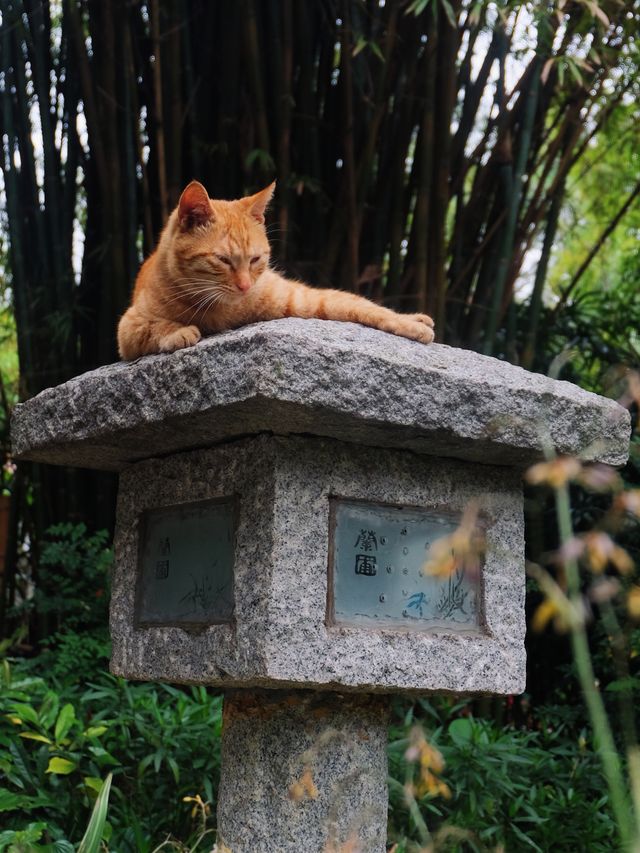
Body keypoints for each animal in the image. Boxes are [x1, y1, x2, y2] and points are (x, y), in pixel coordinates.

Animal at [115, 181, 436, 362]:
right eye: (223, 260)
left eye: (255, 259)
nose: (245, 287)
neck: (224, 311)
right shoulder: (127, 329)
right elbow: (155, 327)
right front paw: (180, 332)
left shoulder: (305, 299)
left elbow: (362, 306)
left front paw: (411, 322)